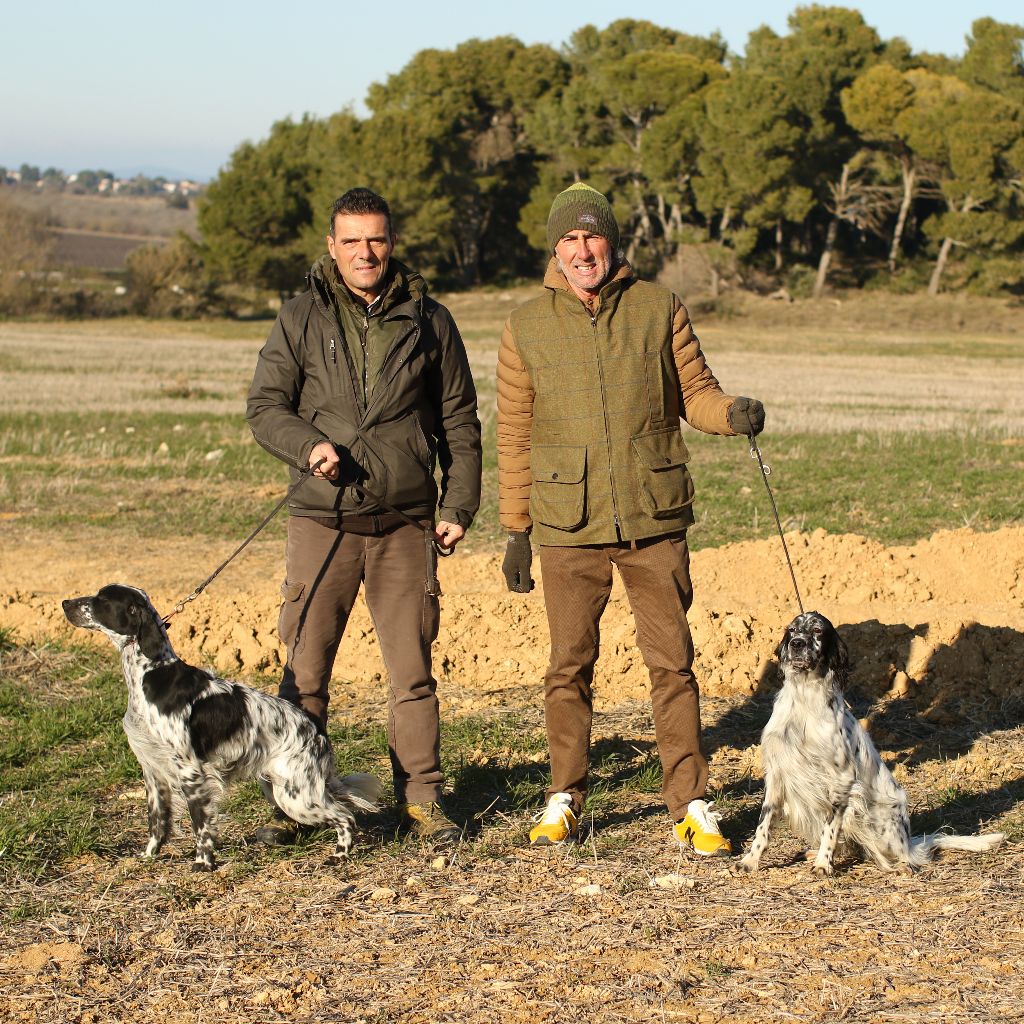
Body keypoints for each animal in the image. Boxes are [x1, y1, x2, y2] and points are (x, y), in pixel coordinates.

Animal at [65, 585, 385, 872]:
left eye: (101, 599)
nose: (65, 602)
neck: (152, 674)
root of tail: (316, 732)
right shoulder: (153, 771)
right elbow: (157, 822)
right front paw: (147, 857)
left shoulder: (191, 772)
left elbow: (200, 825)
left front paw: (203, 863)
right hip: (279, 788)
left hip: (297, 796)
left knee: (346, 816)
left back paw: (340, 855)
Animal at [741, 610, 1003, 876]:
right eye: (792, 630)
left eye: (817, 631)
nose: (796, 644)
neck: (805, 698)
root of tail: (909, 842)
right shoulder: (777, 772)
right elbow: (763, 825)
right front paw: (750, 860)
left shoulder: (843, 780)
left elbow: (830, 829)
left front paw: (823, 864)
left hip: (876, 818)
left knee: (905, 855)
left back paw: (903, 866)